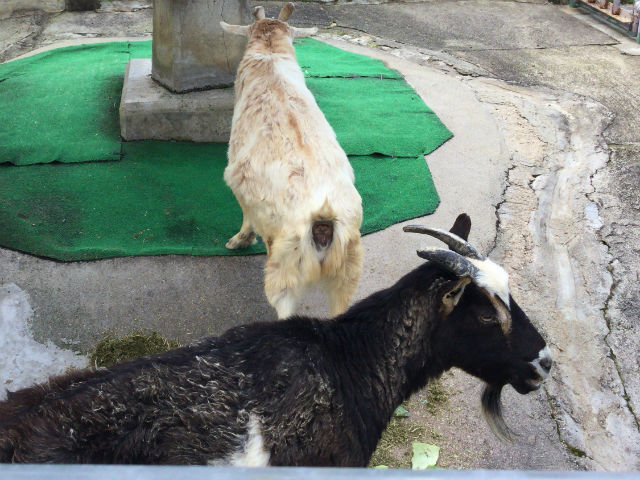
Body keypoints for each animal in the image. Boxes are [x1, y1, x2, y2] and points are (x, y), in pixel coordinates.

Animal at [220, 4, 362, 318]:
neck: (270, 56)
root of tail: (323, 220)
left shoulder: (236, 174)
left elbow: (246, 212)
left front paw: (240, 239)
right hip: (348, 270)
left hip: (284, 268)